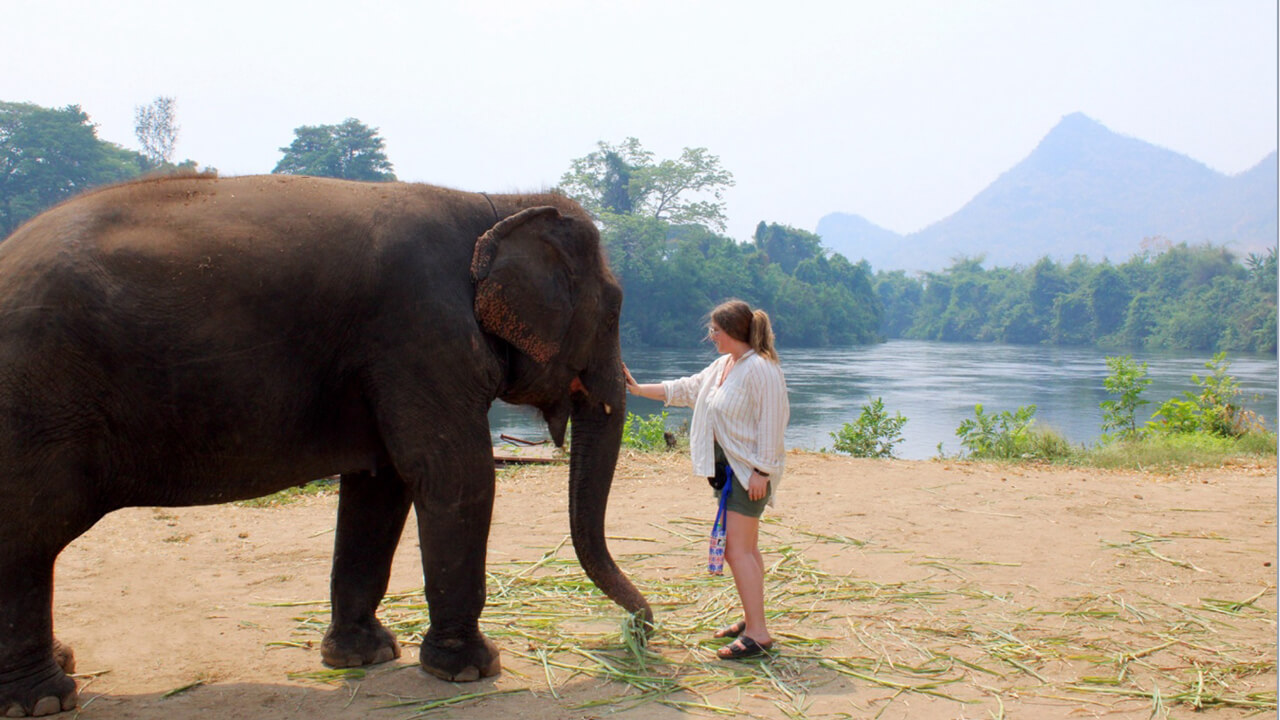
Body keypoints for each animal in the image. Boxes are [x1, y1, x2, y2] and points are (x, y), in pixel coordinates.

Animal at [0, 174, 652, 716]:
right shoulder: (420, 333)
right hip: (36, 404)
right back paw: (45, 699)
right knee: (28, 532)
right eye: (612, 313)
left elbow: (381, 485)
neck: (492, 201)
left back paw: (58, 668)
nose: (642, 632)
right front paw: (470, 670)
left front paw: (363, 658)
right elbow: (452, 474)